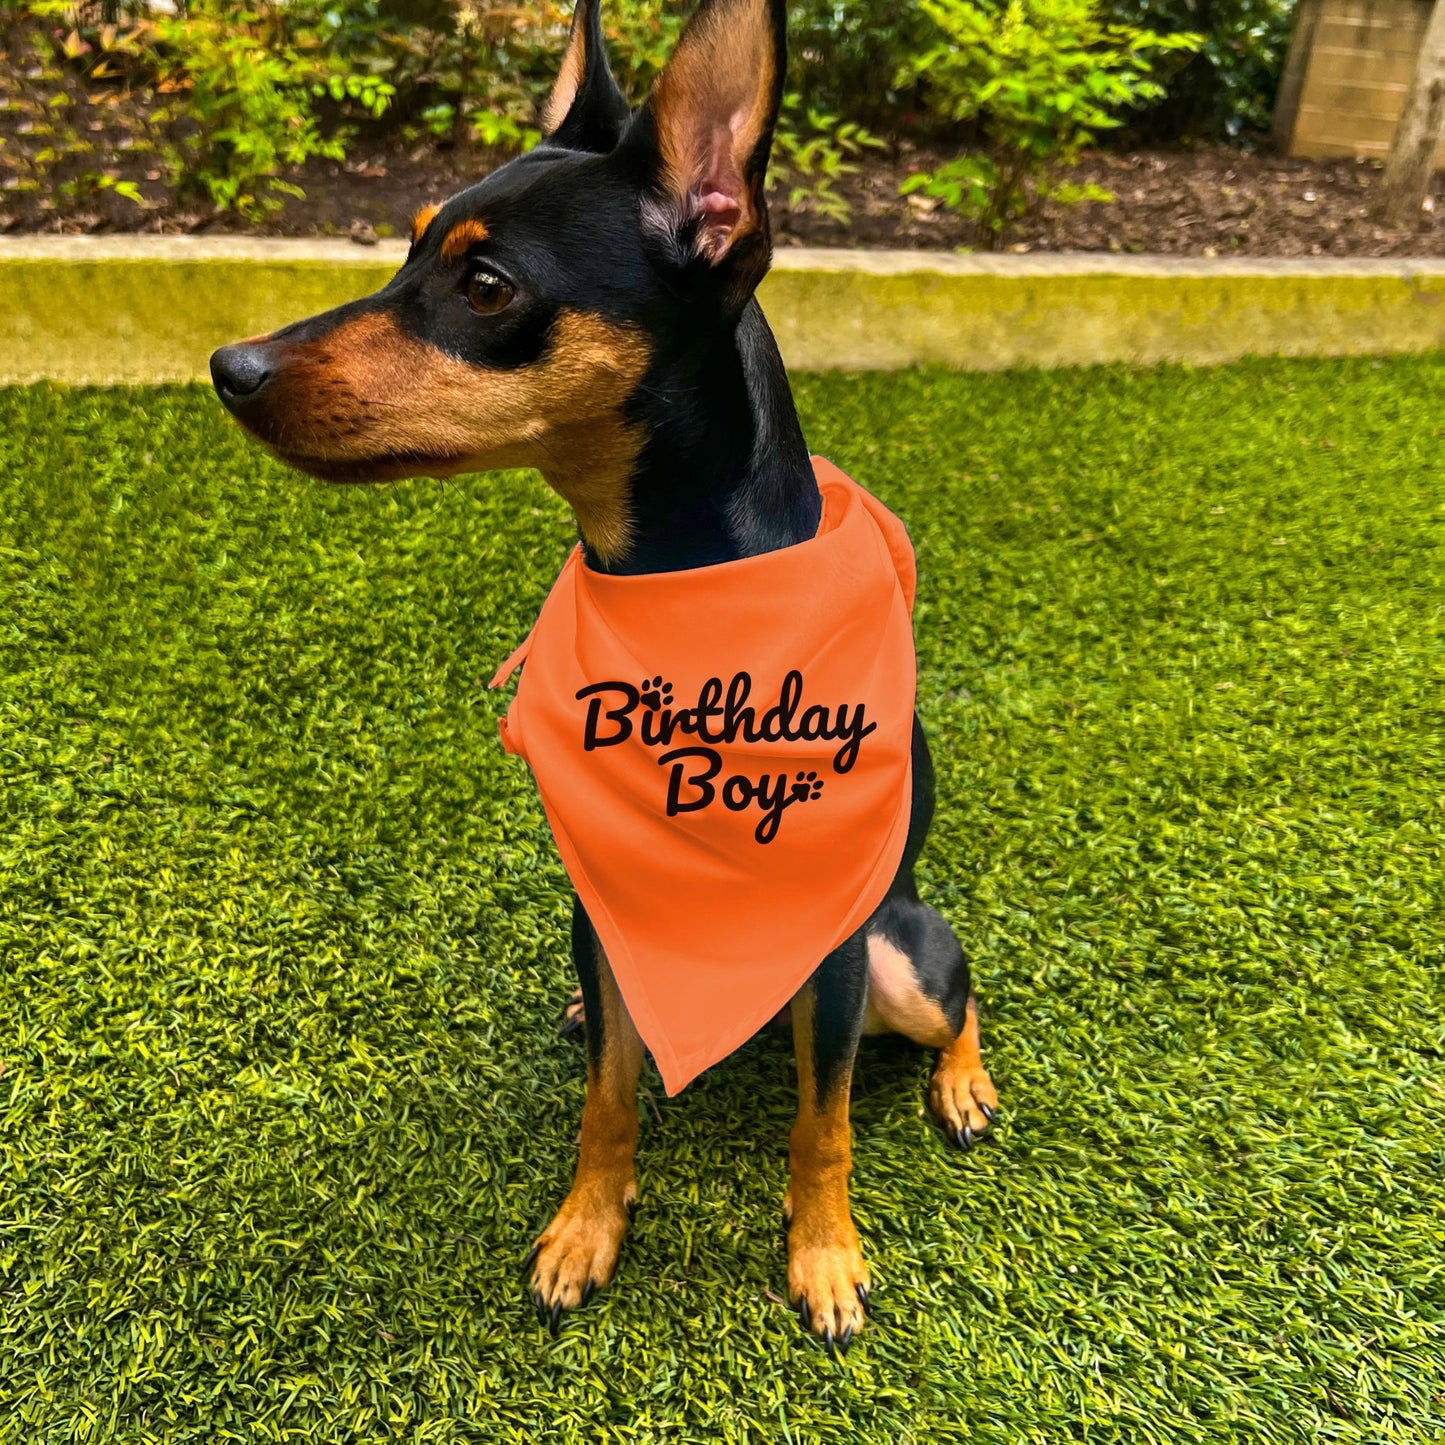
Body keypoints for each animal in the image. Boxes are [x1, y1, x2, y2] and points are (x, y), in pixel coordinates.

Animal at [209, 0, 999, 1352]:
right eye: (405, 251)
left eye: (485, 286)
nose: (230, 366)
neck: (672, 598)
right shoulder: (602, 895)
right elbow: (610, 1097)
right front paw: (586, 1227)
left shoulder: (833, 954)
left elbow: (823, 1123)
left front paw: (824, 1256)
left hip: (900, 953)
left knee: (961, 1000)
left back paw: (962, 1084)